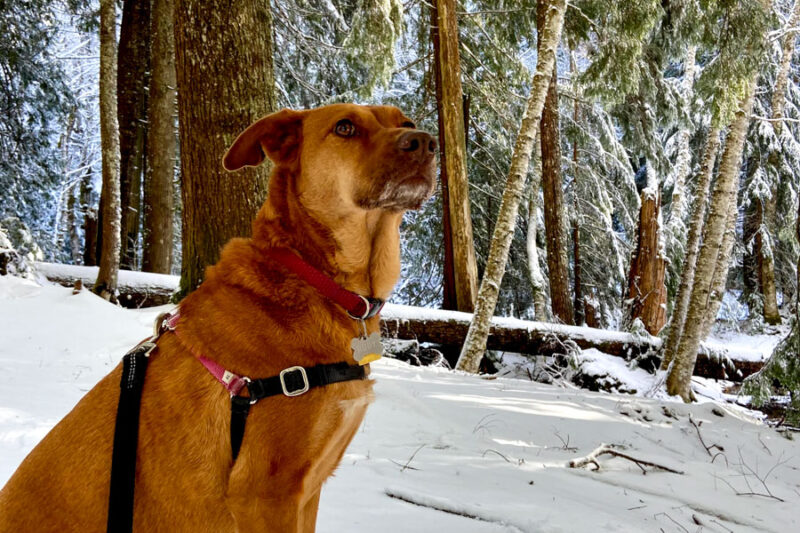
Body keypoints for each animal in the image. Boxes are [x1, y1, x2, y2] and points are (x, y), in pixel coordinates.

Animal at [0, 102, 438, 528]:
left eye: (405, 122)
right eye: (345, 127)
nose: (425, 142)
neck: (312, 276)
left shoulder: (307, 490)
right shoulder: (265, 493)